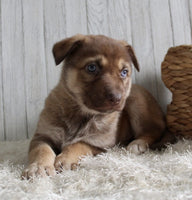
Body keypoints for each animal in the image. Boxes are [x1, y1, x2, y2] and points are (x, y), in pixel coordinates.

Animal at [21, 34, 166, 178]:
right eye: (92, 67)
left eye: (124, 72)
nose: (117, 99)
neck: (80, 113)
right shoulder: (42, 136)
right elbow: (41, 150)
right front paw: (38, 167)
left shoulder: (101, 143)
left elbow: (79, 144)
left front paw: (66, 159)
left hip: (137, 102)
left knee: (154, 130)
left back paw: (137, 144)